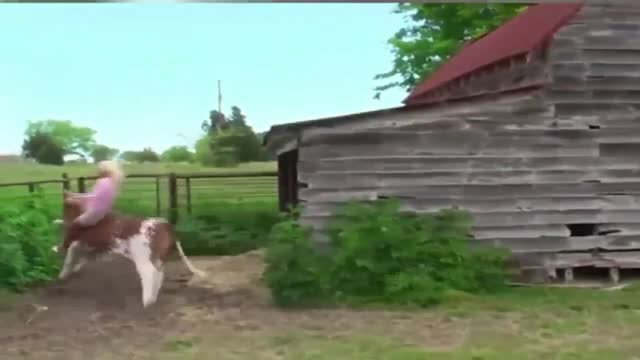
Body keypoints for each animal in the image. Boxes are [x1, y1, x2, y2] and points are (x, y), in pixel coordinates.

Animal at [54, 191, 208, 306]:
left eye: (65, 207)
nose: (63, 219)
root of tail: (167, 225)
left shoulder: (79, 240)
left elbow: (70, 253)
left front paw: (62, 271)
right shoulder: (91, 245)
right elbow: (81, 257)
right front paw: (69, 272)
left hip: (142, 255)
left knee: (149, 272)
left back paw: (146, 302)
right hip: (158, 257)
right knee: (159, 273)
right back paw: (152, 299)